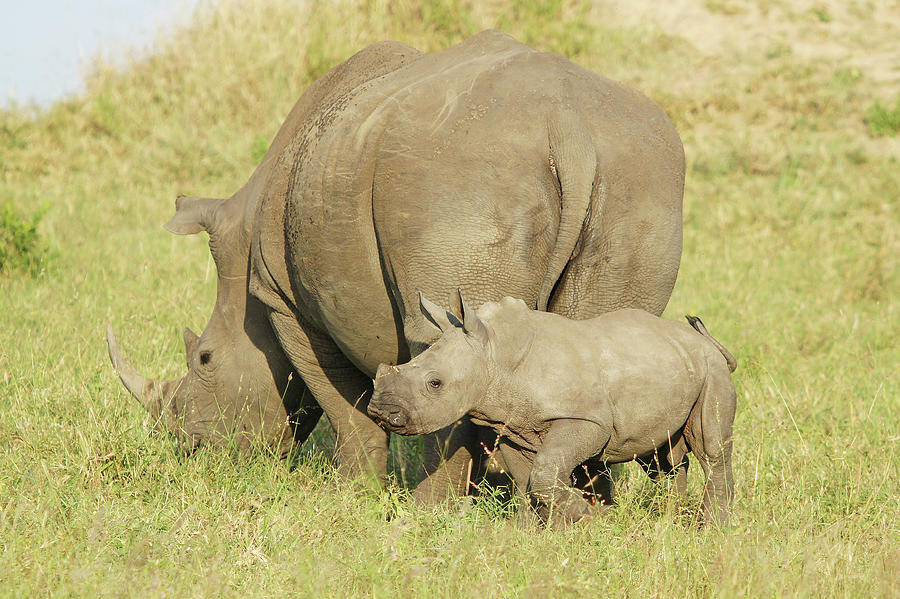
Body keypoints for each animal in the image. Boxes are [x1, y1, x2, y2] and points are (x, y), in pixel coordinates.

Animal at [368, 292, 740, 528]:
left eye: (435, 384)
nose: (380, 411)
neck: (495, 356)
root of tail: (707, 342)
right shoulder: (514, 426)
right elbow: (526, 480)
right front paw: (529, 533)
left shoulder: (585, 419)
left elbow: (545, 471)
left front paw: (582, 515)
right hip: (670, 365)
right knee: (661, 457)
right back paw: (669, 519)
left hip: (711, 369)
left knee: (710, 448)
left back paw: (713, 530)